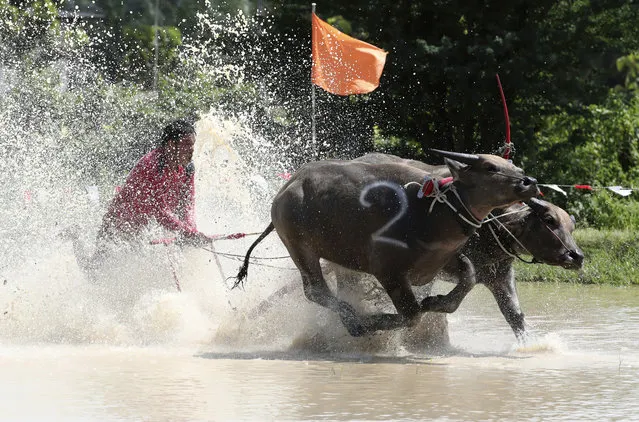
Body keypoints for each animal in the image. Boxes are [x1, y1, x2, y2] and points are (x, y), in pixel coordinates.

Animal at [356, 152, 584, 340]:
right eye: (549, 220)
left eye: (572, 227)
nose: (576, 256)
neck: (490, 230)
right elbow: (463, 285)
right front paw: (432, 303)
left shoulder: (500, 276)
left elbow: (515, 315)